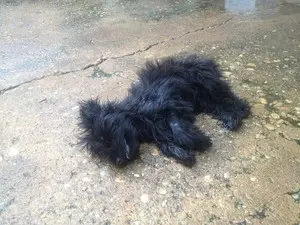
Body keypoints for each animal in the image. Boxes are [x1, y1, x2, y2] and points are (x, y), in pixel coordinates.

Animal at [78, 54, 250, 167]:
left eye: (106, 137)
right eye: (103, 152)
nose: (119, 162)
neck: (138, 115)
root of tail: (205, 60)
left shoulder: (169, 103)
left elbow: (178, 130)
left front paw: (200, 141)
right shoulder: (159, 129)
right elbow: (166, 143)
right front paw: (183, 154)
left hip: (206, 84)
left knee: (230, 98)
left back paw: (235, 117)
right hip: (204, 100)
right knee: (219, 103)